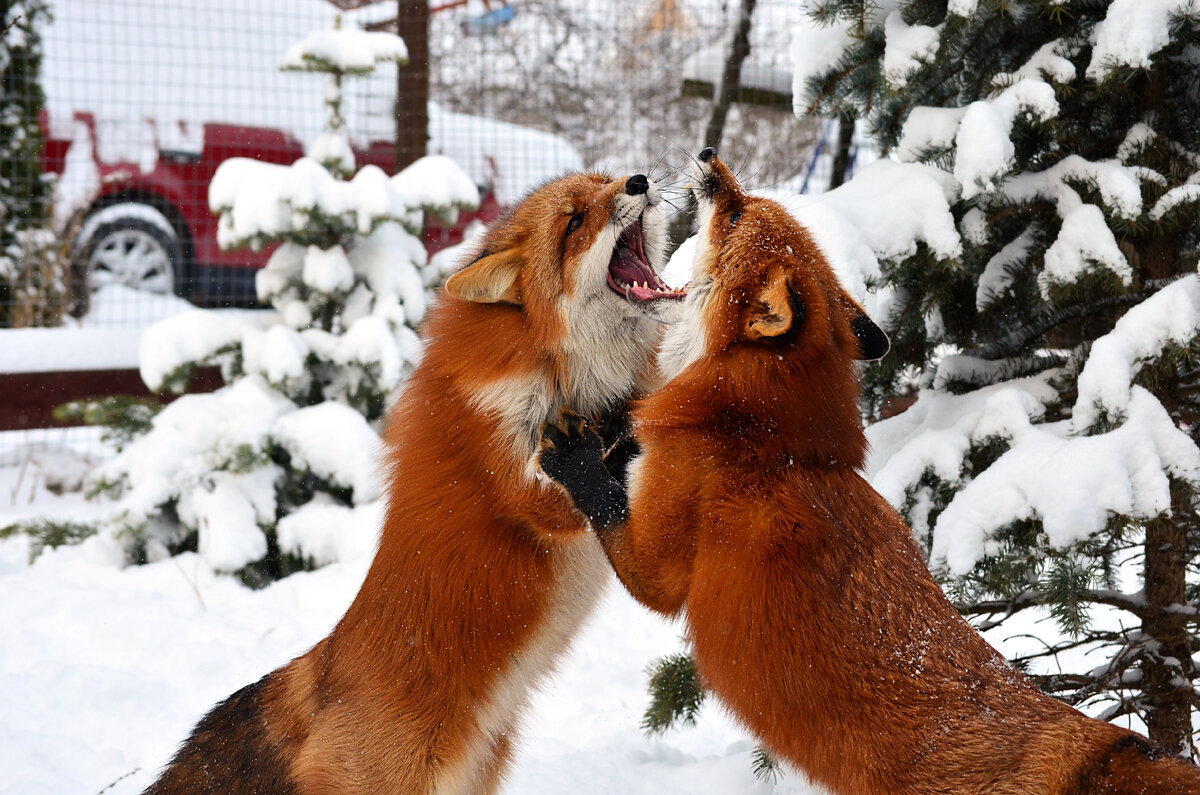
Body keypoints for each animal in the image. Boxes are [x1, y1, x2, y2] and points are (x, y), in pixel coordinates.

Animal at [540, 151, 1200, 795]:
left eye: (734, 215)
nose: (707, 156)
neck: (768, 438)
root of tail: (1104, 746)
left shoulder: (660, 568)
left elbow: (606, 502)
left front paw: (575, 453)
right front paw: (617, 422)